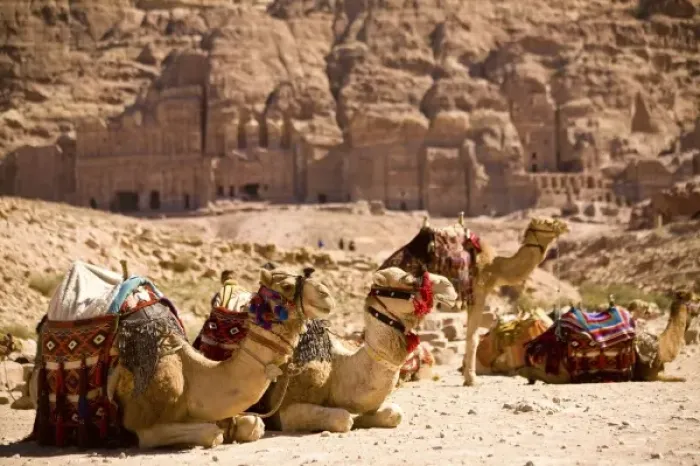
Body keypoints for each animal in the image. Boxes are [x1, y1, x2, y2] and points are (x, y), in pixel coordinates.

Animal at [30, 263, 336, 449]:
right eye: (286, 286)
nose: (327, 294)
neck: (192, 375)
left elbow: (253, 425)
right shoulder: (141, 423)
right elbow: (211, 434)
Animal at [247, 267, 457, 433]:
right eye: (408, 279)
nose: (450, 286)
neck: (338, 368)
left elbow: (395, 413)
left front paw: (363, 420)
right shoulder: (286, 408)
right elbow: (343, 418)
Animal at [379, 214, 569, 386]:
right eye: (547, 222)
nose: (565, 226)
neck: (495, 267)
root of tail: (383, 268)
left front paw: (467, 376)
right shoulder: (478, 292)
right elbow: (473, 337)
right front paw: (471, 379)